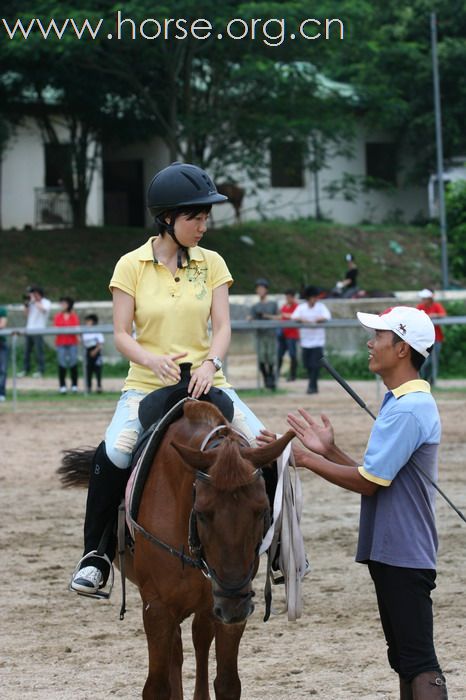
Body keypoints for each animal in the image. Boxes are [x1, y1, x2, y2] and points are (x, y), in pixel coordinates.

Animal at [61, 400, 292, 700]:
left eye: (263, 510)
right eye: (202, 513)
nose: (234, 605)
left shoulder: (227, 606)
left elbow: (227, 683)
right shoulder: (158, 607)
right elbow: (157, 686)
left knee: (198, 640)